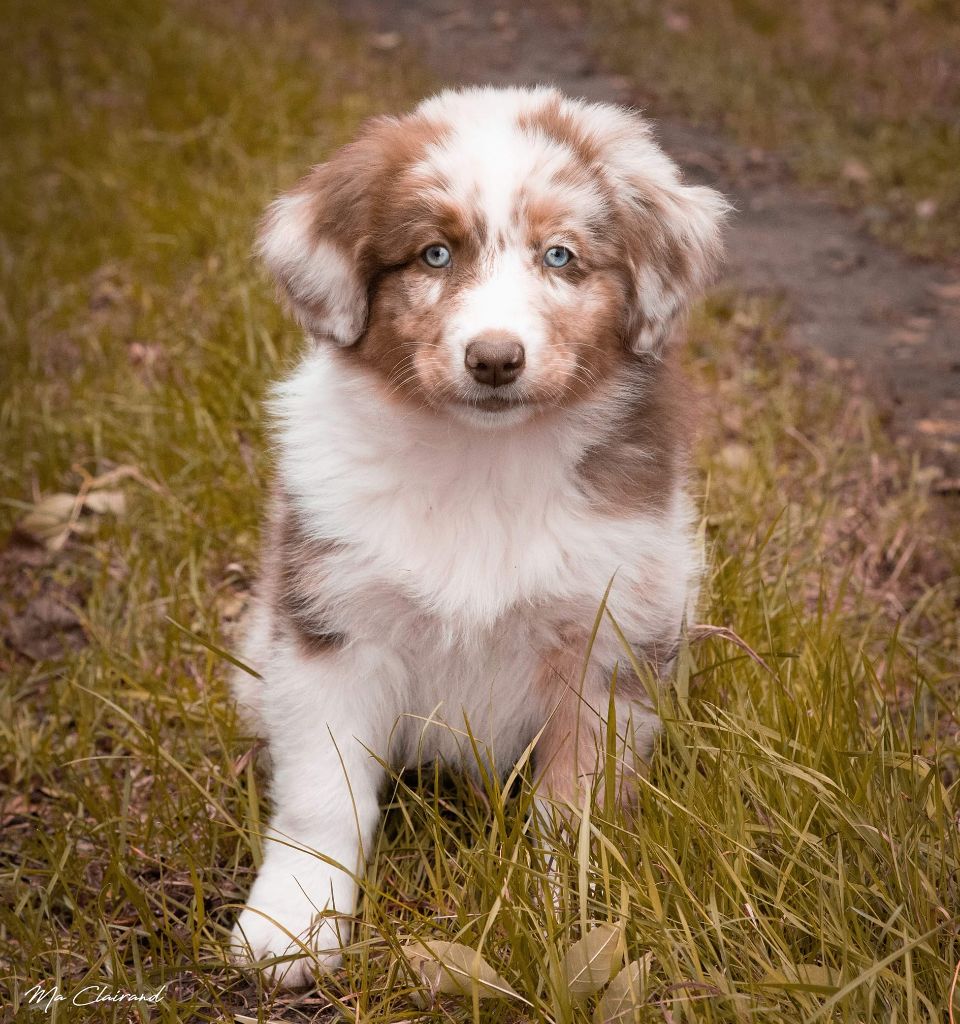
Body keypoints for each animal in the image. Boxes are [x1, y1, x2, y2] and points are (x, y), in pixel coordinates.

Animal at [232, 86, 724, 983]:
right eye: (434, 255)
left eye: (560, 256)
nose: (495, 359)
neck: (483, 462)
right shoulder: (332, 630)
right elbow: (323, 797)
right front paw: (293, 923)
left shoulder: (607, 645)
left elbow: (573, 806)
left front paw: (555, 909)